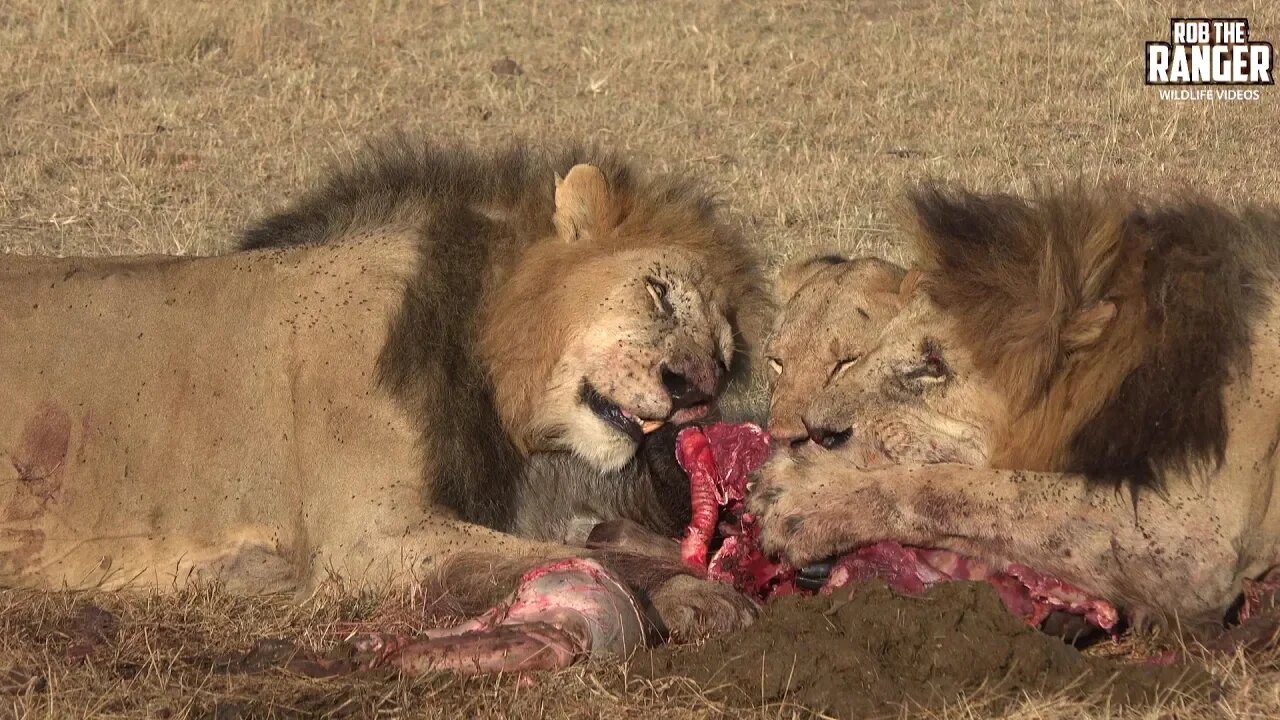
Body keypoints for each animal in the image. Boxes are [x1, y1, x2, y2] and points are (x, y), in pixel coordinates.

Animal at [0, 139, 768, 632]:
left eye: (724, 355)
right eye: (658, 293)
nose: (696, 391)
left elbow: (597, 540)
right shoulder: (369, 537)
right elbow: (576, 557)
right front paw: (696, 593)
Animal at [747, 184, 1280, 632]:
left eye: (933, 365)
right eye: (873, 349)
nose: (814, 432)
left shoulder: (1196, 539)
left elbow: (974, 492)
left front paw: (805, 495)